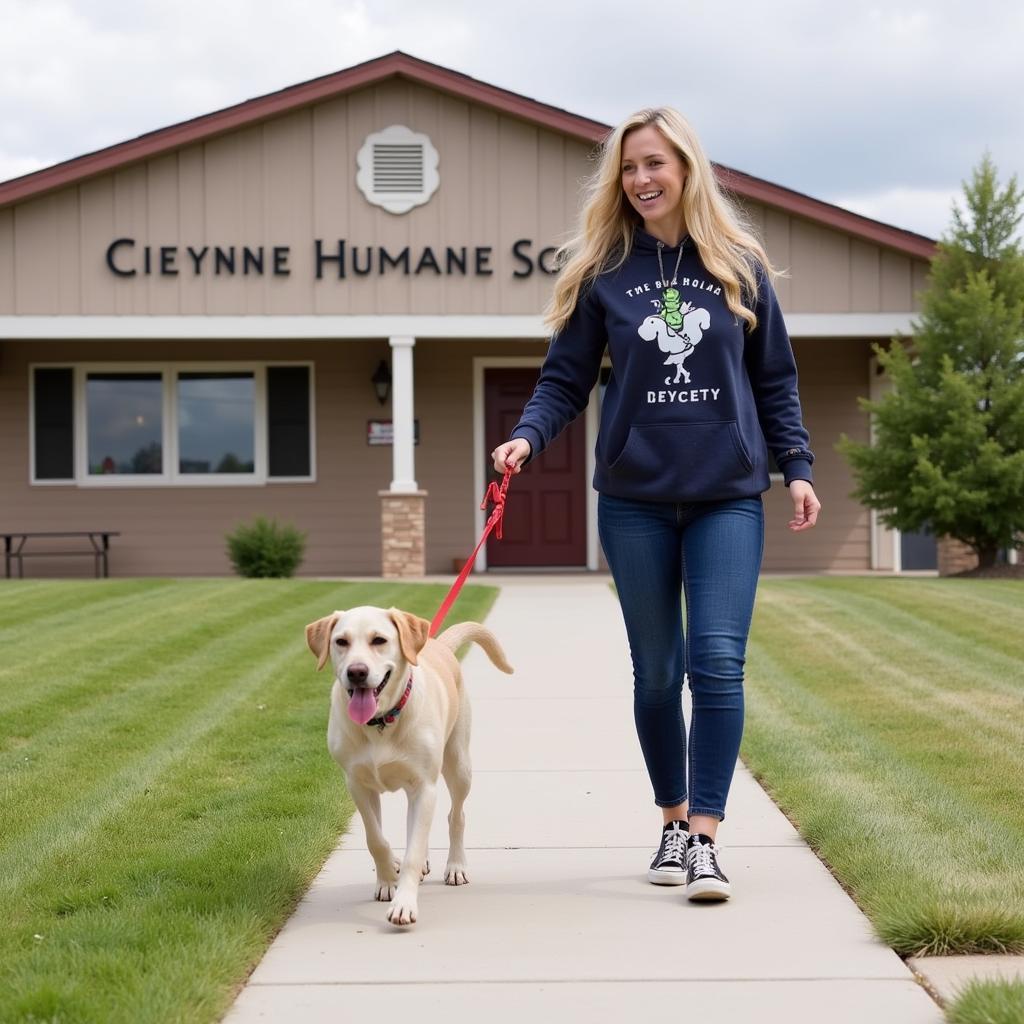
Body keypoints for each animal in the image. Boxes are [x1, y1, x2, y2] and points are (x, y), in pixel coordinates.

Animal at [301, 606, 512, 929]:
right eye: (341, 641)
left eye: (379, 640)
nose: (357, 672)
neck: (380, 722)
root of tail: (438, 644)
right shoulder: (357, 784)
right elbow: (376, 839)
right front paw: (388, 880)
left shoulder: (424, 787)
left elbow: (413, 848)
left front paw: (404, 903)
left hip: (458, 765)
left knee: (456, 815)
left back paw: (455, 865)